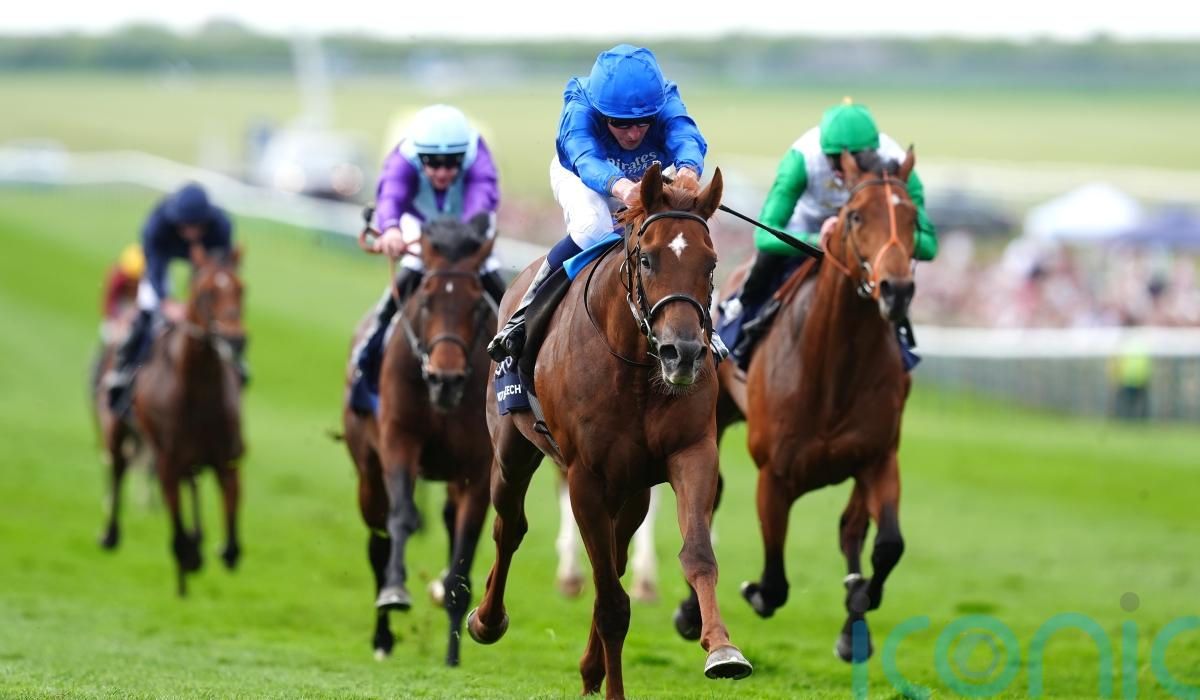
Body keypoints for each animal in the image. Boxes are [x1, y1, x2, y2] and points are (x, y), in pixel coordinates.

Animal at [120, 245, 247, 597]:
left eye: (241, 289)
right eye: (206, 292)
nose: (235, 341)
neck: (199, 391)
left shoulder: (227, 461)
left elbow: (232, 546)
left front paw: (217, 549)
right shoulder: (167, 463)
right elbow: (178, 535)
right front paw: (189, 558)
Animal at [341, 215, 496, 667]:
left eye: (477, 305)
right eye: (426, 300)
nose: (446, 379)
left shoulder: (478, 469)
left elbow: (463, 552)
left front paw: (453, 655)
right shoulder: (400, 441)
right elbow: (403, 517)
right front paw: (395, 592)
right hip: (368, 471)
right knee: (378, 540)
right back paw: (382, 636)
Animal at [467, 163, 753, 699]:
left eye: (710, 263)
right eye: (647, 258)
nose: (683, 353)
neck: (637, 366)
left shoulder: (691, 452)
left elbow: (697, 555)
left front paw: (723, 649)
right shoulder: (585, 477)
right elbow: (611, 604)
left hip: (632, 488)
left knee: (616, 558)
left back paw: (590, 664)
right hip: (512, 449)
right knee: (509, 525)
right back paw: (486, 620)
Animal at [673, 148, 920, 662]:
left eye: (912, 217)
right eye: (855, 215)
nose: (897, 289)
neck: (834, 371)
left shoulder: (878, 458)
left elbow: (887, 545)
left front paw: (860, 601)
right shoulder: (775, 474)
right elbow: (773, 583)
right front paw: (749, 594)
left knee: (852, 529)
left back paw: (854, 624)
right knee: (709, 501)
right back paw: (689, 612)